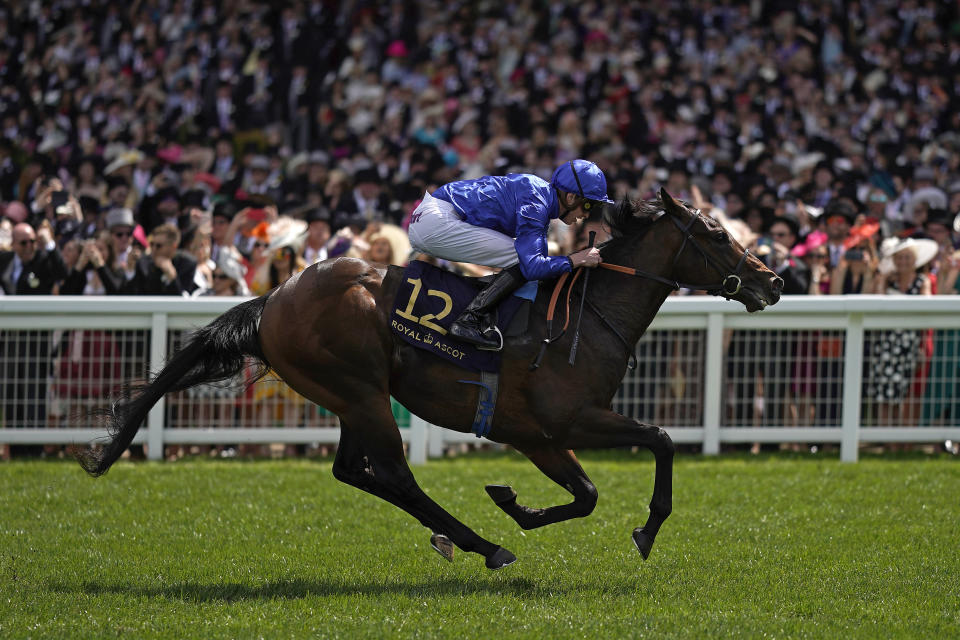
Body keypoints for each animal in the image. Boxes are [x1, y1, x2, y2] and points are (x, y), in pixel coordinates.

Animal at [73, 190, 780, 568]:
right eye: (716, 234)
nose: (773, 281)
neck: (584, 314)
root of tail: (275, 295)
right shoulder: (559, 423)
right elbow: (657, 440)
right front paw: (644, 529)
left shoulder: (543, 437)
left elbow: (586, 494)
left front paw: (515, 502)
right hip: (359, 392)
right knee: (395, 475)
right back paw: (483, 545)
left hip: (351, 396)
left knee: (354, 471)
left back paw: (463, 536)